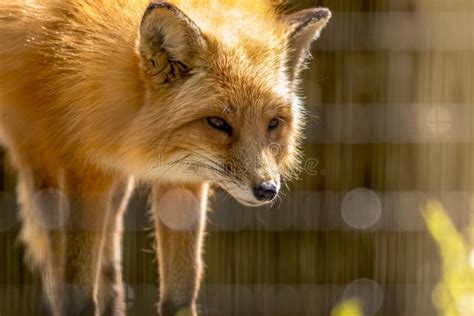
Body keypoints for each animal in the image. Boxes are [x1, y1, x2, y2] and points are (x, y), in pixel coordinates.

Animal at [0, 0, 332, 314]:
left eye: (273, 124)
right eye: (217, 123)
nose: (267, 190)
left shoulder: (182, 179)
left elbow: (180, 296)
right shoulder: (84, 169)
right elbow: (77, 293)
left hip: (116, 190)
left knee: (109, 273)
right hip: (45, 172)